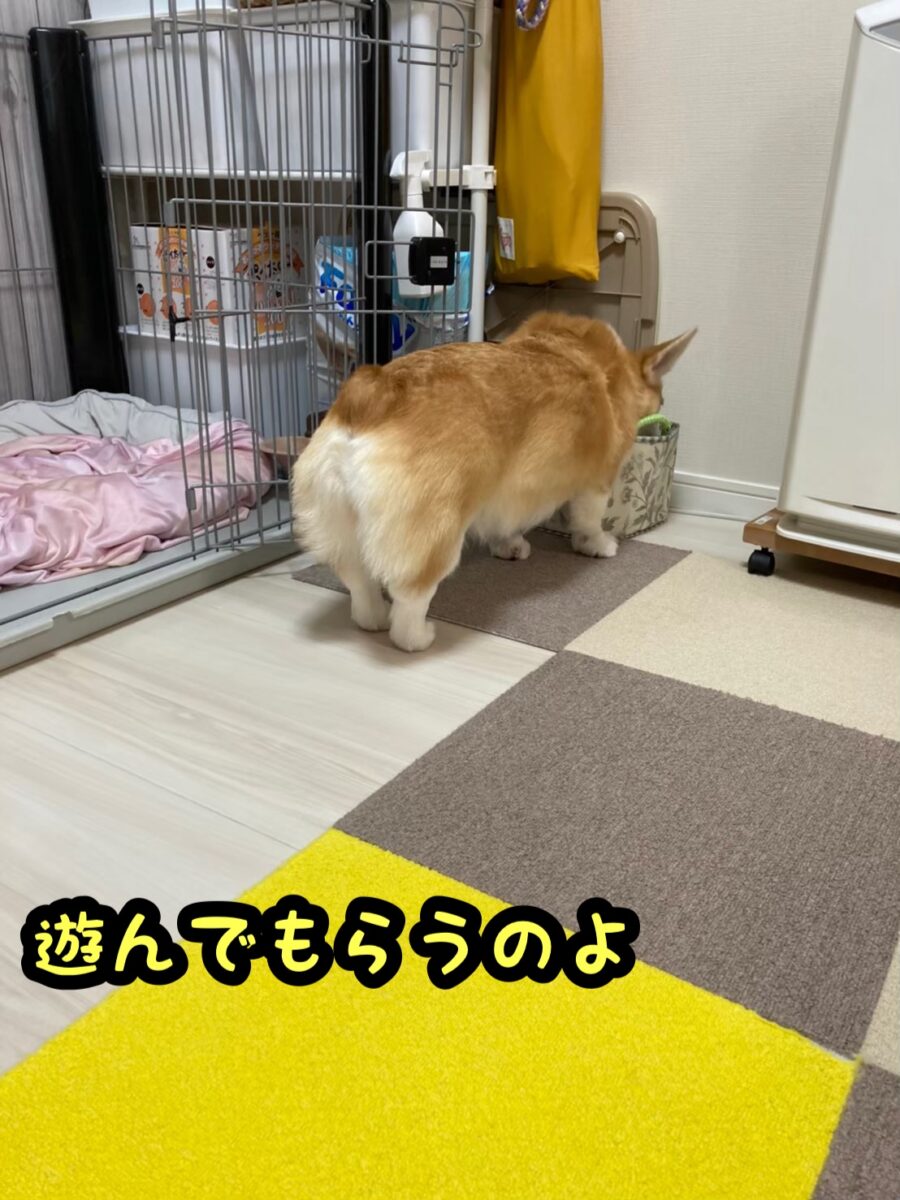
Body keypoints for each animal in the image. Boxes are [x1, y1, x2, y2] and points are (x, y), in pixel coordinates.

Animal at [292, 313, 696, 652]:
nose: (662, 412)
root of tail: (372, 392)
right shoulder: (595, 481)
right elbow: (589, 521)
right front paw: (599, 546)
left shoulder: (512, 491)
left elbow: (506, 524)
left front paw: (510, 547)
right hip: (436, 529)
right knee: (410, 594)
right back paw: (417, 637)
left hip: (339, 521)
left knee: (357, 579)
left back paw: (371, 619)